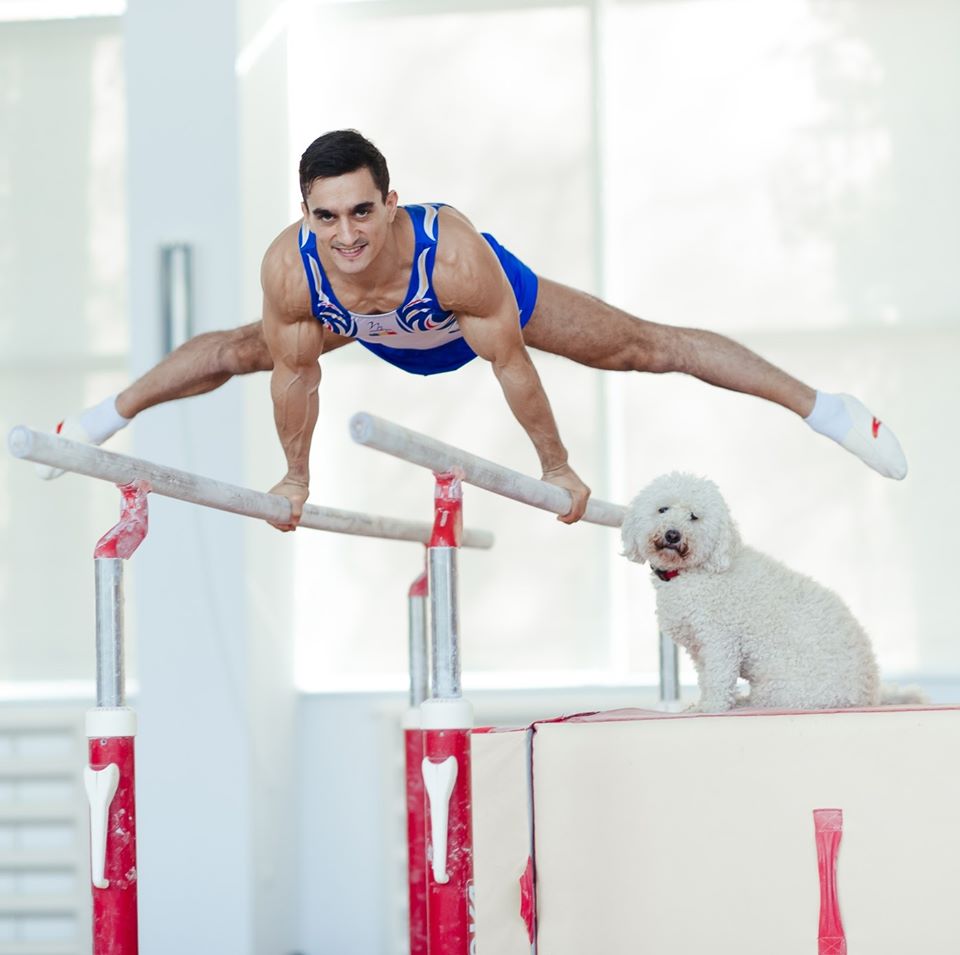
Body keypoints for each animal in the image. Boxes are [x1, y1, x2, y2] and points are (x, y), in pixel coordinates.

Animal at [620, 472, 912, 712]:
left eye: (694, 516)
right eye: (662, 509)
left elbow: (717, 677)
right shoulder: (700, 649)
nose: (673, 534)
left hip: (781, 690)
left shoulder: (719, 640)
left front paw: (711, 707)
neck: (690, 574)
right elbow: (706, 677)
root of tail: (870, 694)